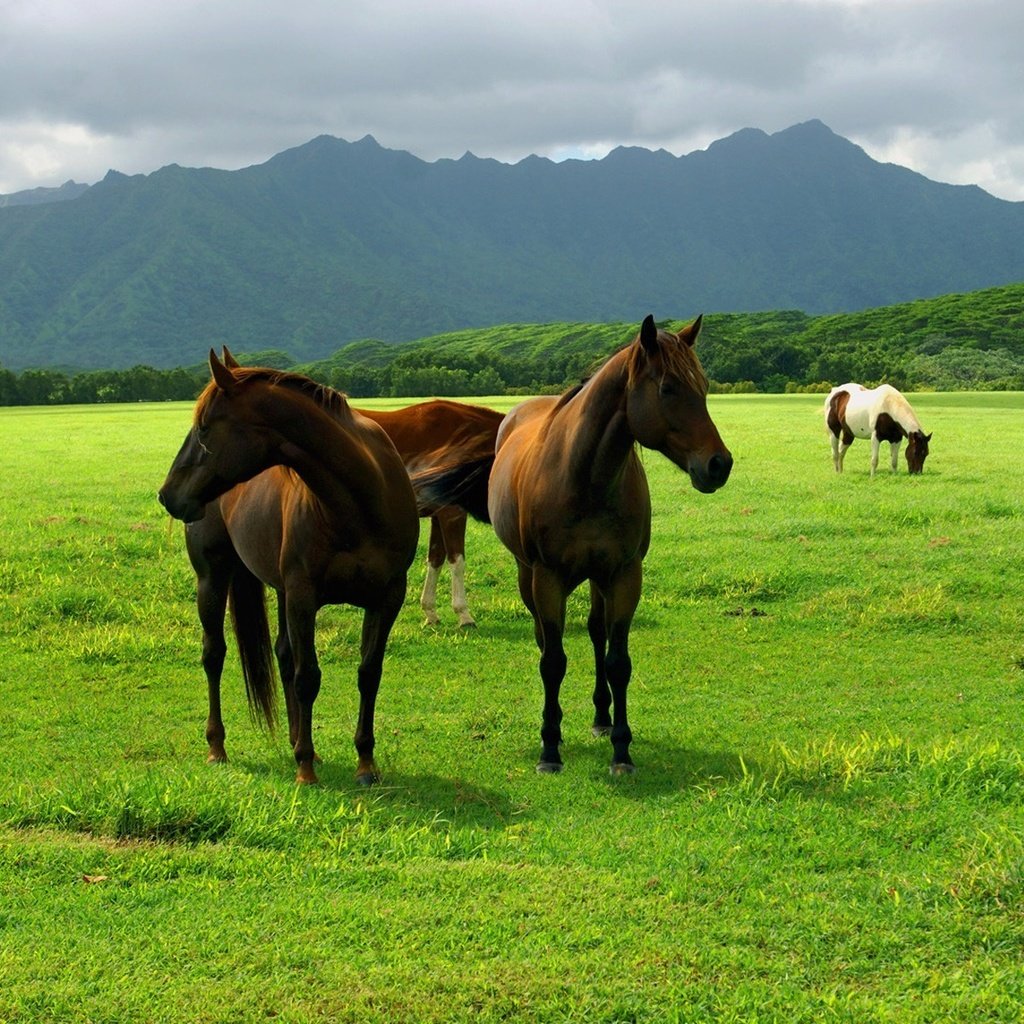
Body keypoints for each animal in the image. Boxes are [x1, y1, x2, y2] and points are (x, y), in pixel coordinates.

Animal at [156, 350, 419, 782]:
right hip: (213, 579)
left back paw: (298, 740)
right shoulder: (303, 596)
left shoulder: (387, 597)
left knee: (282, 654)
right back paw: (218, 746)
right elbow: (307, 676)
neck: (359, 503)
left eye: (204, 428)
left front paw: (365, 762)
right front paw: (305, 769)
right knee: (215, 655)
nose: (167, 495)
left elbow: (369, 674)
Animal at [354, 403, 505, 626]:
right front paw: (463, 614)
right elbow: (456, 561)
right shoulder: (452, 513)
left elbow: (436, 559)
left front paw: (430, 611)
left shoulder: (438, 515)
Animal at [485, 315, 733, 770]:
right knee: (545, 639)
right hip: (528, 575)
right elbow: (553, 661)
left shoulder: (623, 574)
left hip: (597, 578)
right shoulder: (547, 578)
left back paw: (601, 717)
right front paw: (549, 747)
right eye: (668, 388)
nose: (718, 464)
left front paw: (621, 748)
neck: (584, 477)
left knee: (596, 632)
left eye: (704, 386)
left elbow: (618, 661)